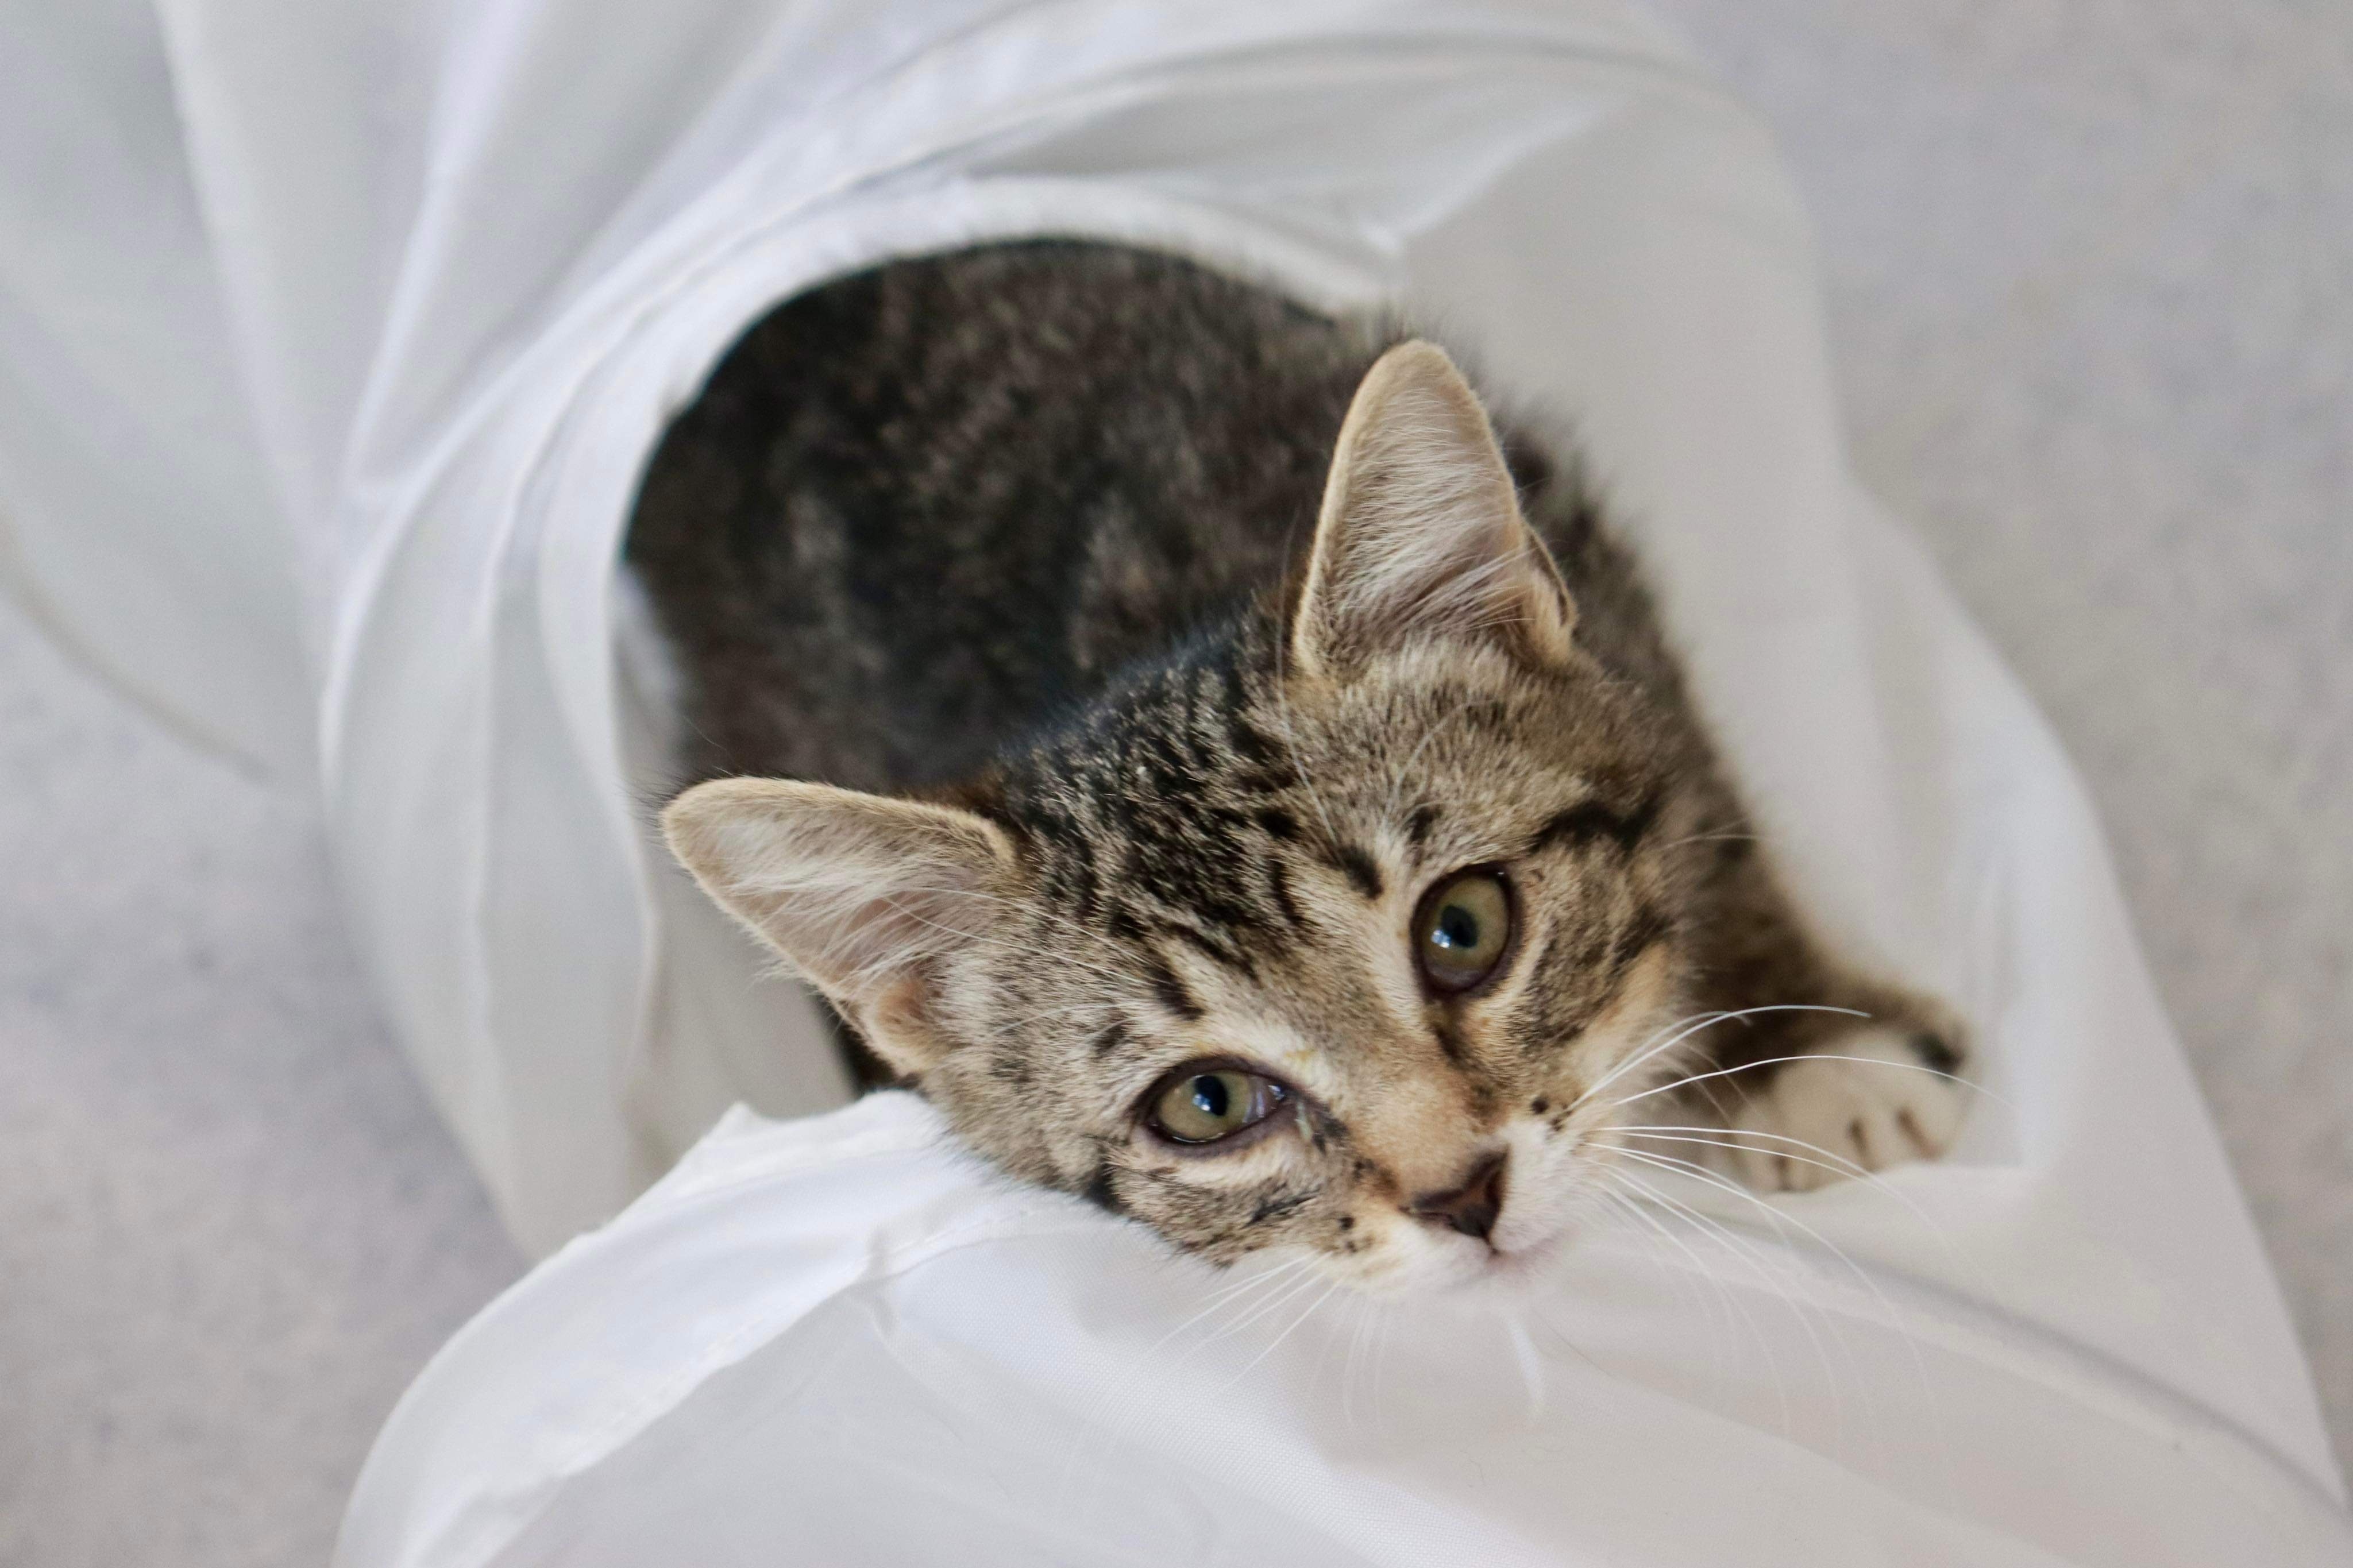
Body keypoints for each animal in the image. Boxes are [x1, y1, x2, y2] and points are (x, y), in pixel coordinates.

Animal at [630, 242, 1967, 1288]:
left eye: (1463, 930)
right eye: (1209, 1105)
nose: (1461, 1197)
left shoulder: (1607, 585)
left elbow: (1703, 799)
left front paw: (1807, 1051)